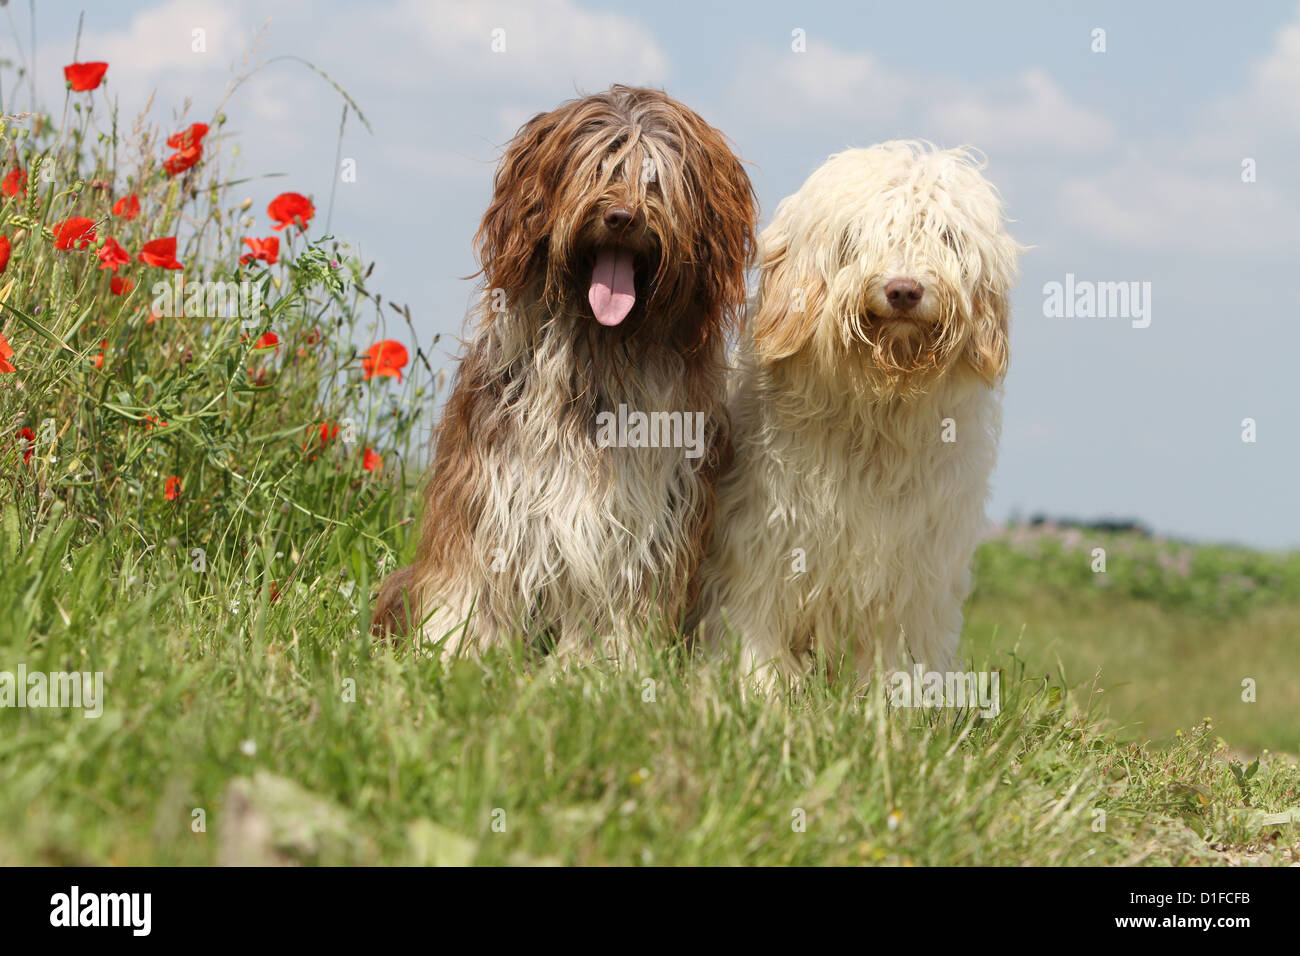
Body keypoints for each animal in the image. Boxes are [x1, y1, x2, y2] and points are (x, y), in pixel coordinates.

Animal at [371, 85, 759, 660]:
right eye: (599, 167)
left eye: (655, 179)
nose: (622, 217)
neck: (597, 356)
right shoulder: (490, 488)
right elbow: (468, 583)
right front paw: (451, 653)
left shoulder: (648, 514)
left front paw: (602, 666)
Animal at [702, 140, 1013, 686]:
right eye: (856, 236)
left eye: (945, 236)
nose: (904, 290)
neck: (876, 416)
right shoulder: (763, 549)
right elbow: (755, 630)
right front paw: (757, 689)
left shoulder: (915, 579)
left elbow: (900, 655)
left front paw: (899, 698)